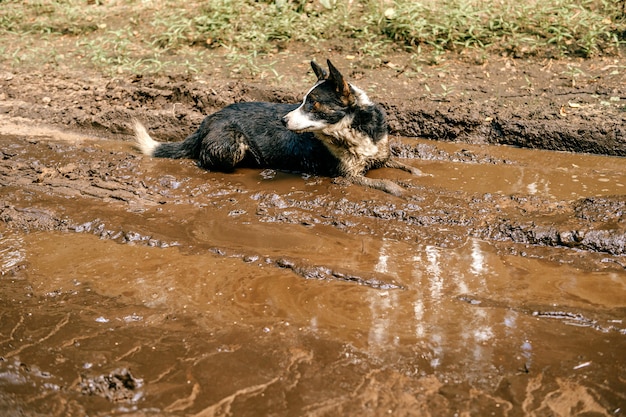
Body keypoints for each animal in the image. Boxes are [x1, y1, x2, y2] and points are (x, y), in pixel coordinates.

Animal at [133, 58, 422, 195]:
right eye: (302, 101)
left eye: (312, 104)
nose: (282, 120)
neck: (354, 128)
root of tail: (207, 120)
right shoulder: (348, 175)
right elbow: (387, 184)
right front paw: (405, 193)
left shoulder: (381, 155)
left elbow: (407, 166)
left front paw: (418, 175)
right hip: (233, 144)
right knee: (205, 159)